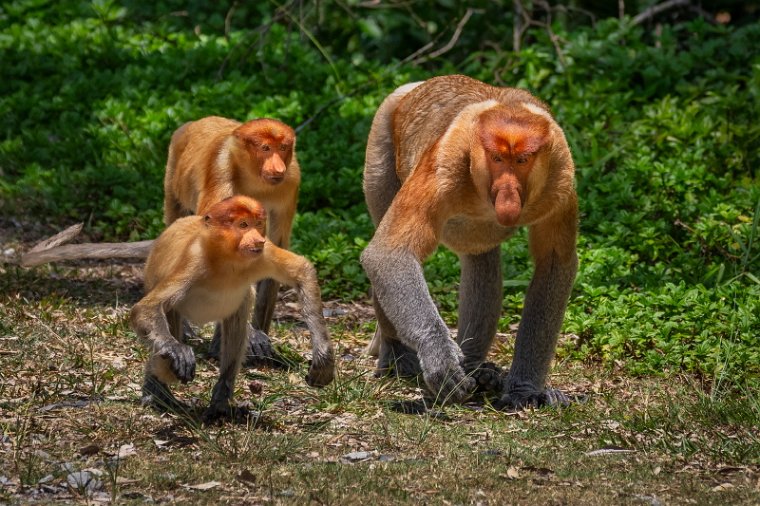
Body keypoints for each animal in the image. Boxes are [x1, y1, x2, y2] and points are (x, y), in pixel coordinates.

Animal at [131, 196, 336, 422]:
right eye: (243, 225)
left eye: (257, 224)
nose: (258, 239)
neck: (228, 260)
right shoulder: (193, 262)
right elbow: (147, 308)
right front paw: (178, 351)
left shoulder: (262, 254)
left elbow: (302, 271)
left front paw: (323, 360)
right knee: (169, 315)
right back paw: (158, 393)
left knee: (240, 309)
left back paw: (221, 401)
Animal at [165, 116, 302, 366]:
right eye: (265, 148)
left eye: (282, 148)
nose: (278, 167)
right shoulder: (221, 171)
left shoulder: (290, 181)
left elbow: (275, 248)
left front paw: (257, 337)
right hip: (173, 183)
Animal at [360, 74, 576, 408]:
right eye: (498, 158)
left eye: (522, 160)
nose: (508, 194)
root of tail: (414, 88)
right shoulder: (444, 164)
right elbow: (388, 253)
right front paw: (441, 360)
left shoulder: (560, 175)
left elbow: (553, 262)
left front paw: (524, 390)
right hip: (381, 142)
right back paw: (399, 359)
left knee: (481, 263)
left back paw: (478, 370)